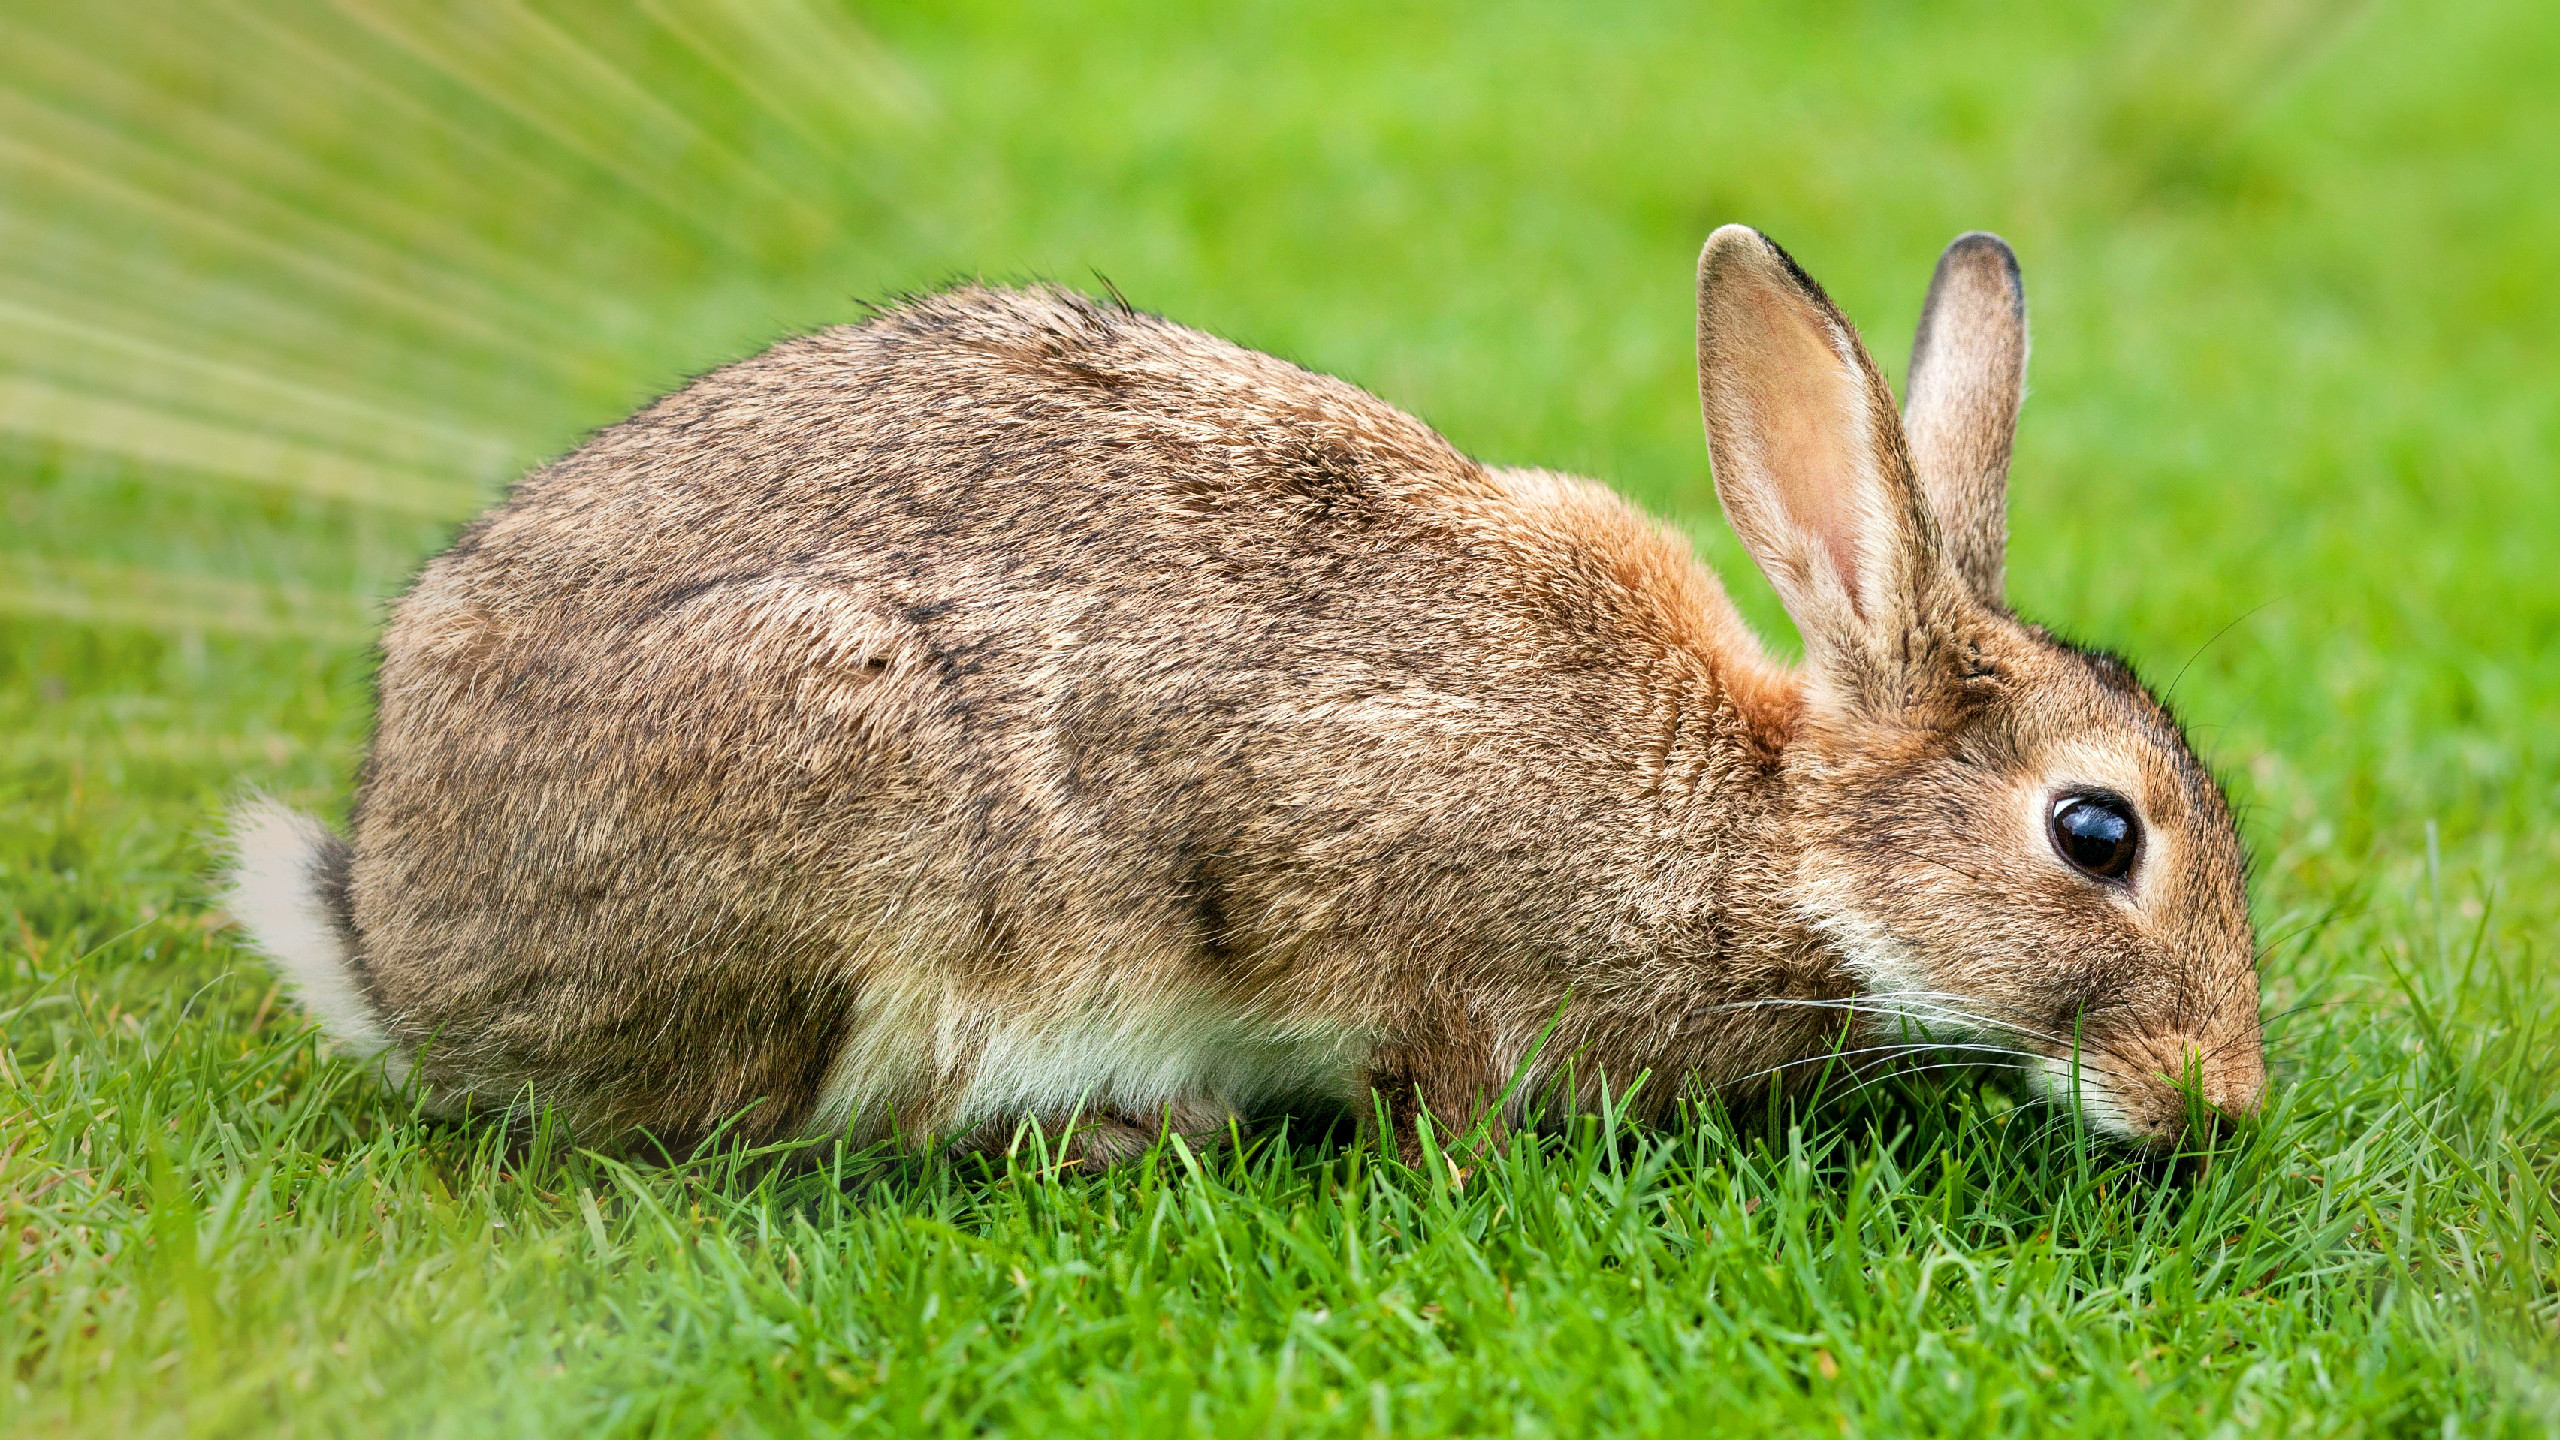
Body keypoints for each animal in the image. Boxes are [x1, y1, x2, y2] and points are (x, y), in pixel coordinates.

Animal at [224, 226, 2264, 1163]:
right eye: (2097, 833)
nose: (2226, 1099)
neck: (1770, 830)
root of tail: (392, 939)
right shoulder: (1367, 874)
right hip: (847, 798)